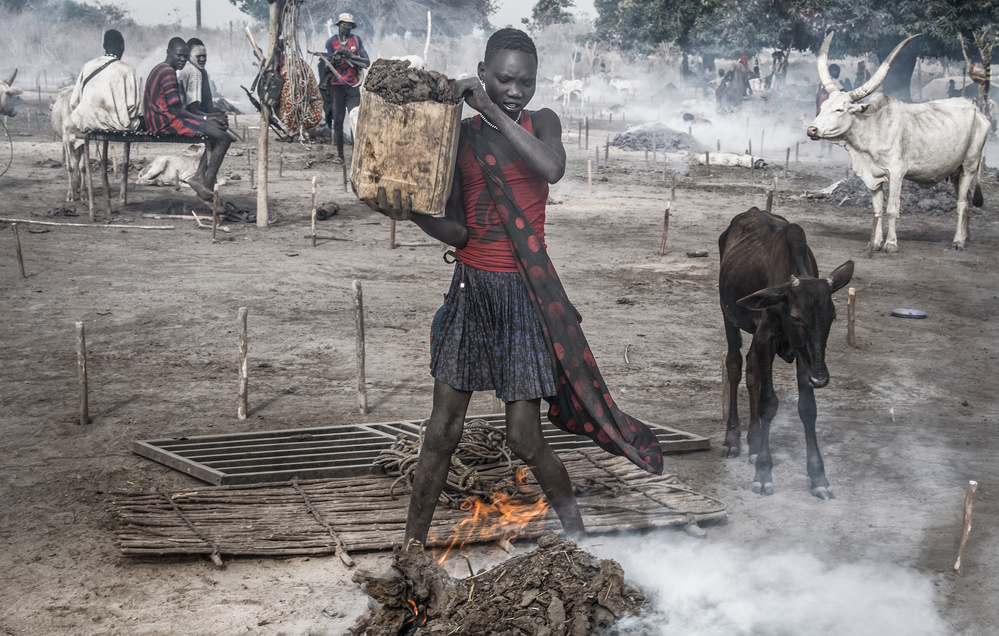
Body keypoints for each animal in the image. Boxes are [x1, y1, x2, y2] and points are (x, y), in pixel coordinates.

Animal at [720, 206, 852, 500]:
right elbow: (769, 403)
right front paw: (763, 474)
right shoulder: (765, 338)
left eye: (834, 316)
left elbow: (808, 408)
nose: (821, 378)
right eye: (796, 317)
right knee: (734, 364)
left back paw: (754, 441)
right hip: (728, 315)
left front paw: (818, 477)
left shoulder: (806, 356)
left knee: (751, 370)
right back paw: (732, 440)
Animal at [804, 32, 992, 251]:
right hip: (956, 170)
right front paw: (875, 243)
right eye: (823, 106)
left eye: (839, 109)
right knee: (968, 200)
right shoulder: (873, 176)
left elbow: (892, 209)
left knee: (962, 202)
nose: (812, 129)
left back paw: (958, 241)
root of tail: (977, 110)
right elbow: (877, 209)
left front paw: (891, 243)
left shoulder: (896, 173)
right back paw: (966, 236)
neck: (872, 127)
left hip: (970, 164)